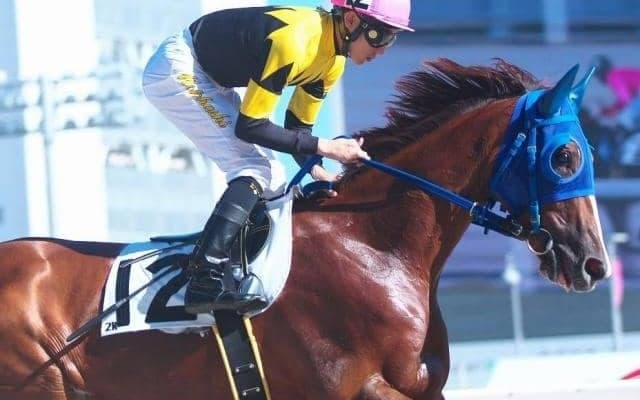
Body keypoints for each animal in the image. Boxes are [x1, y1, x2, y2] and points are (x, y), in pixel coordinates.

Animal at [0, 59, 610, 400]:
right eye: (565, 157)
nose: (594, 263)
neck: (372, 246)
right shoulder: (352, 388)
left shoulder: (424, 389)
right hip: (41, 386)